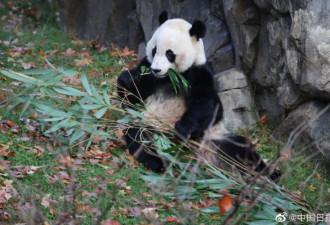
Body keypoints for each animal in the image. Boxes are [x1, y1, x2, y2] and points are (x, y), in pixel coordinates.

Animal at [117, 11, 280, 181]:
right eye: (154, 50)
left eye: (170, 53)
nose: (157, 69)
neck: (171, 77)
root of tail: (193, 155)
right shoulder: (149, 73)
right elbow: (130, 99)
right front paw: (129, 78)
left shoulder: (199, 74)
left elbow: (208, 107)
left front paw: (183, 128)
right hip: (153, 128)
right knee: (140, 137)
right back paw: (159, 162)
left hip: (213, 138)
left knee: (239, 149)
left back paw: (270, 173)